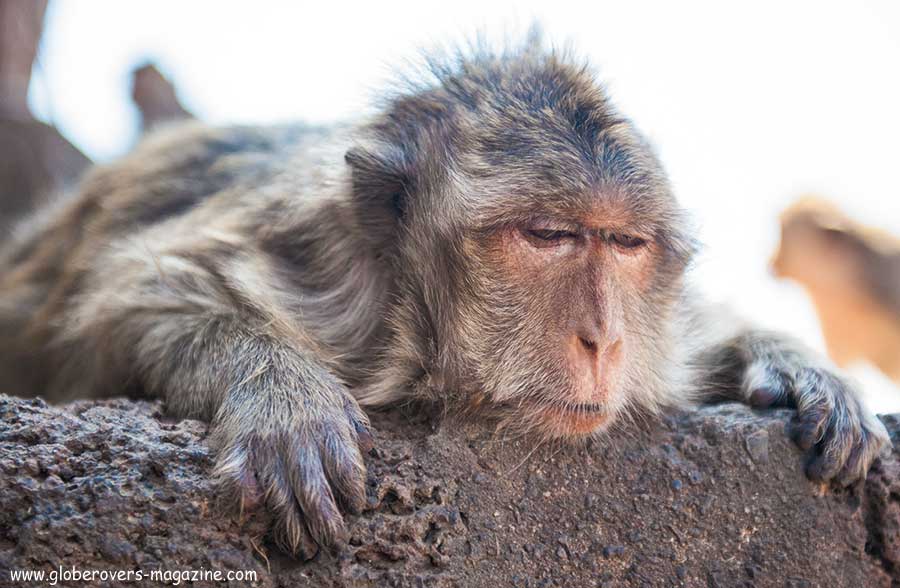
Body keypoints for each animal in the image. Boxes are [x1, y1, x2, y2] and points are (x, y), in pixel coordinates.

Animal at [0, 39, 884, 560]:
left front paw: (803, 371)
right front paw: (285, 400)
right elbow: (120, 300)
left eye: (626, 245)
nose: (604, 340)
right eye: (548, 235)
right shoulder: (313, 267)